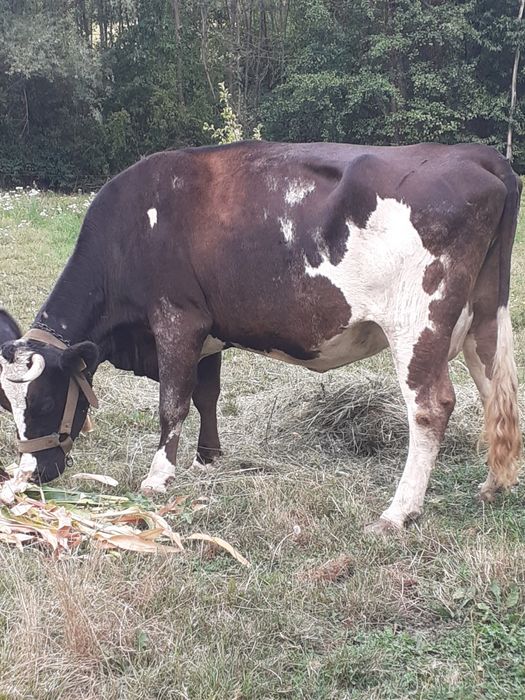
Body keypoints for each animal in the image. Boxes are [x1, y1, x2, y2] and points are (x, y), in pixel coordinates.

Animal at [0, 141, 521, 533]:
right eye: (8, 405)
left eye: (45, 401)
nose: (30, 476)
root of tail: (475, 154)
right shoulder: (208, 332)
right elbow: (207, 394)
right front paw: (207, 459)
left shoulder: (176, 320)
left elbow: (173, 403)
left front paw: (158, 476)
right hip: (483, 320)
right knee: (494, 390)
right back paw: (493, 485)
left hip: (417, 325)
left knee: (431, 407)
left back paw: (398, 512)